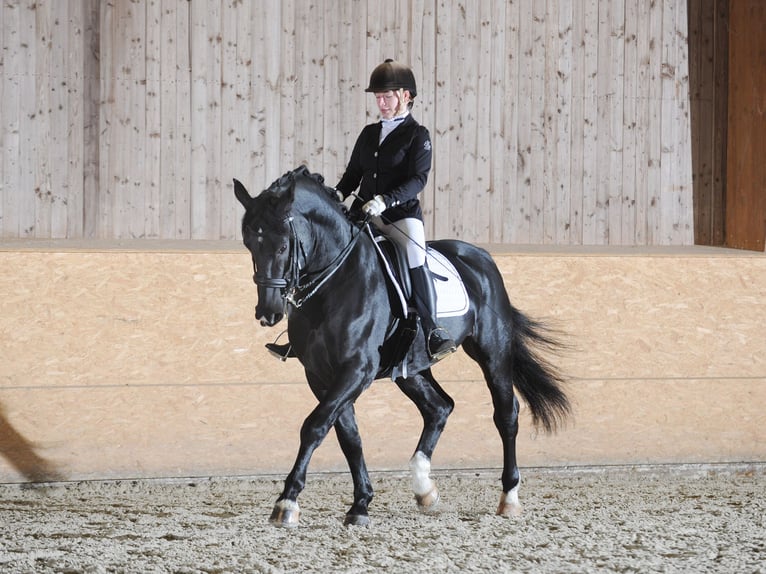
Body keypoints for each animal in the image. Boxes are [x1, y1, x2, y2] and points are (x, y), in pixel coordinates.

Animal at [233, 166, 570, 527]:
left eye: (283, 245)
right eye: (250, 244)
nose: (268, 312)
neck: (335, 281)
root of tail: (481, 259)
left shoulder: (357, 370)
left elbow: (314, 426)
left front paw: (287, 502)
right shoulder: (321, 374)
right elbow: (347, 435)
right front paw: (360, 504)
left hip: (492, 352)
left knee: (506, 414)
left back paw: (509, 497)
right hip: (411, 367)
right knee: (439, 407)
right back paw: (425, 488)